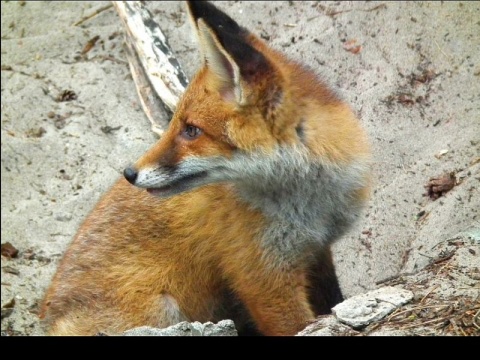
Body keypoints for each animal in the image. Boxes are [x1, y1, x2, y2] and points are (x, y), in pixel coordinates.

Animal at [41, 1, 372, 336]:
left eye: (191, 130)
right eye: (176, 123)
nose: (129, 174)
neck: (313, 204)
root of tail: (48, 319)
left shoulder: (317, 251)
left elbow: (334, 299)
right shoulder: (263, 278)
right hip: (162, 309)